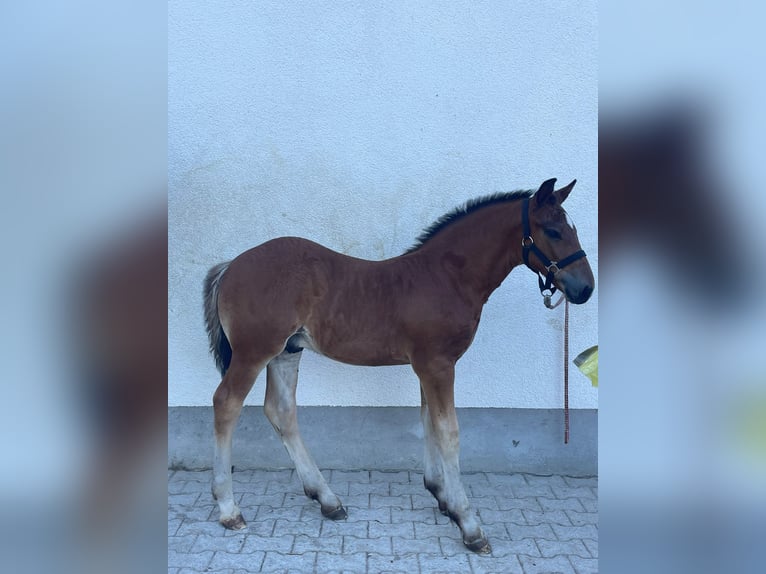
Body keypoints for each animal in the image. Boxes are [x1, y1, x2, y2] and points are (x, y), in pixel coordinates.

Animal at [202, 178, 592, 556]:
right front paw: (469, 524)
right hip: (254, 352)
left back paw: (327, 499)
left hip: (287, 352)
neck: (448, 277)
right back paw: (229, 509)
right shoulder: (438, 366)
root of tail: (230, 266)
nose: (585, 288)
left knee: (280, 411)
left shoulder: (427, 367)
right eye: (553, 230)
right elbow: (448, 432)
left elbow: (429, 422)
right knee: (227, 403)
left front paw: (441, 496)